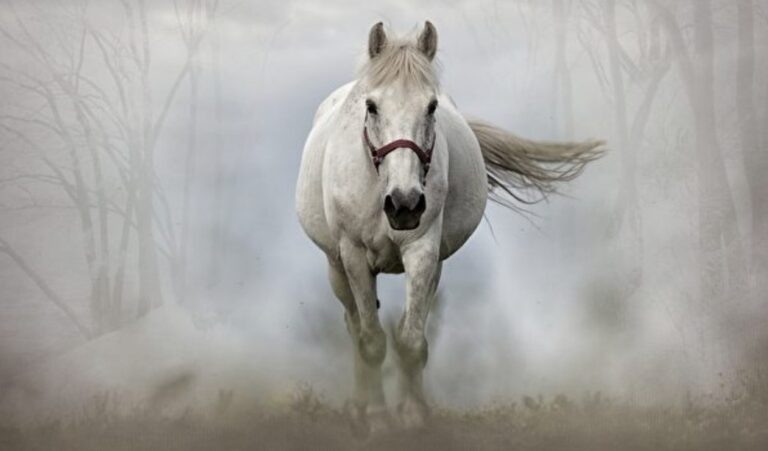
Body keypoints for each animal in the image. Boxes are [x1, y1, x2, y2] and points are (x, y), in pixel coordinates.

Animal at [295, 21, 603, 433]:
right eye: (372, 106)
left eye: (431, 106)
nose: (404, 204)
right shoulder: (354, 256)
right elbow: (371, 340)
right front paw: (376, 418)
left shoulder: (423, 251)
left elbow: (411, 340)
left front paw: (413, 415)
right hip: (336, 267)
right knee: (354, 325)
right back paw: (360, 406)